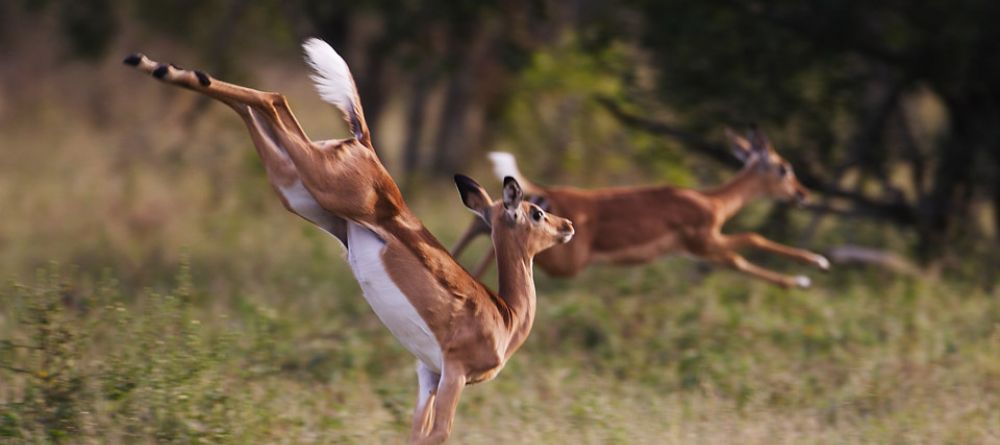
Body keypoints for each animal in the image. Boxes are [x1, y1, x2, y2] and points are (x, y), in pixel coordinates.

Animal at [124, 39, 576, 444]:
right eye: (536, 213)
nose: (567, 225)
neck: (505, 317)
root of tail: (365, 145)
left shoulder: (427, 374)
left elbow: (413, 434)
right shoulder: (453, 373)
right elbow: (437, 436)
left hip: (296, 190)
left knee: (259, 108)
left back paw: (158, 66)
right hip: (321, 183)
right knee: (274, 98)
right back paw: (150, 64)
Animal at [454, 128, 828, 288]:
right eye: (784, 167)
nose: (803, 194)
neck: (714, 202)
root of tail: (550, 191)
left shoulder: (704, 250)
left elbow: (740, 260)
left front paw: (801, 278)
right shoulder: (705, 241)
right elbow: (751, 240)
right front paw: (813, 267)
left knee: (485, 219)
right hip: (565, 261)